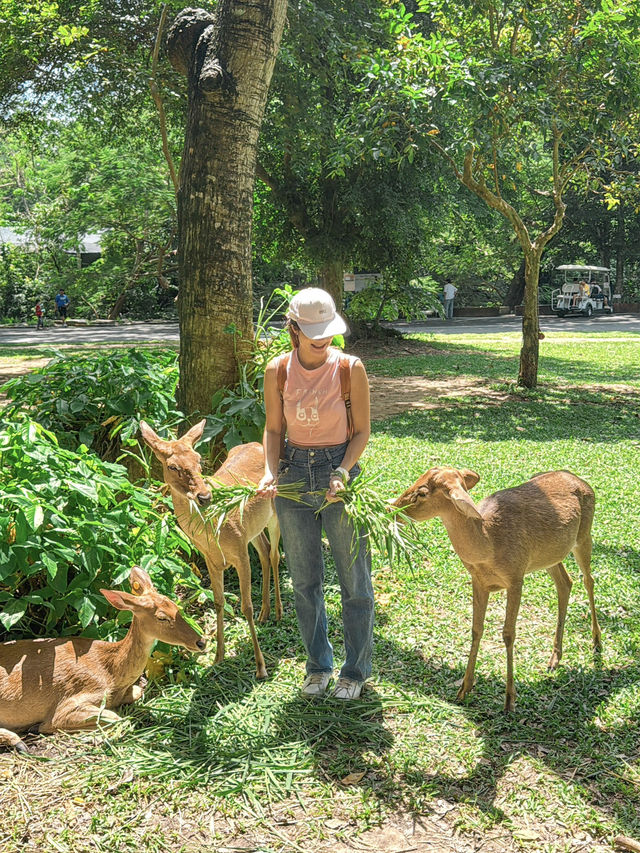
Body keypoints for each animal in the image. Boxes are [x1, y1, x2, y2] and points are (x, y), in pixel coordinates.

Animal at [0, 564, 204, 752]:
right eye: (162, 618)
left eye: (176, 606)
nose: (201, 641)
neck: (112, 672)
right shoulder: (73, 699)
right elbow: (114, 717)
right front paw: (41, 728)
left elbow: (138, 691)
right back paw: (18, 741)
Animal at [141, 420, 282, 680]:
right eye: (172, 466)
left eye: (198, 459)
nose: (204, 496)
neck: (212, 532)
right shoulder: (211, 558)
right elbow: (218, 602)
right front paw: (218, 657)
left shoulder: (239, 552)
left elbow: (245, 606)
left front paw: (260, 667)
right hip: (252, 528)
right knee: (265, 551)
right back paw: (265, 613)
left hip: (276, 510)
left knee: (276, 553)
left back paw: (278, 611)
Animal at [392, 466, 604, 712]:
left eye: (423, 492)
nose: (392, 509)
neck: (488, 543)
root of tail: (581, 481)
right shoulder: (478, 581)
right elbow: (476, 629)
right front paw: (463, 689)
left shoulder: (516, 577)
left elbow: (508, 633)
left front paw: (509, 699)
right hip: (550, 555)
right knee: (565, 583)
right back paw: (554, 658)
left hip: (584, 535)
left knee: (588, 580)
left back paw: (597, 642)